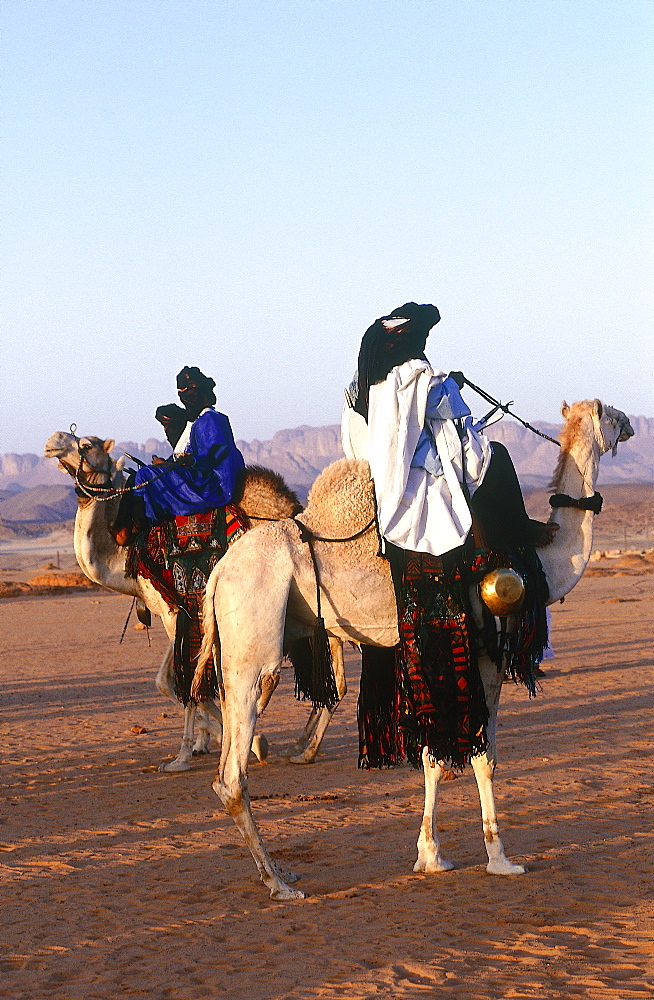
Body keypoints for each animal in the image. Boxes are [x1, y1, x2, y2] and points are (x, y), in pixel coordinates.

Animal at [42, 434, 338, 768]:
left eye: (86, 444)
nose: (52, 443)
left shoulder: (174, 610)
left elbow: (185, 680)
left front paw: (190, 753)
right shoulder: (175, 612)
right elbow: (174, 679)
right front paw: (208, 741)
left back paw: (298, 745)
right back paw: (302, 745)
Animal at [195, 398, 636, 900]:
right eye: (609, 414)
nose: (630, 424)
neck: (536, 555)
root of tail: (218, 574)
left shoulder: (431, 651)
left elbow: (431, 759)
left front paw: (430, 855)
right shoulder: (484, 652)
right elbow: (485, 758)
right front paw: (500, 858)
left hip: (238, 650)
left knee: (225, 754)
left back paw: (282, 870)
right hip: (256, 641)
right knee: (233, 775)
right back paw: (277, 881)